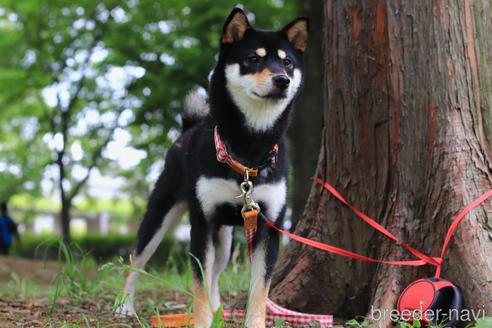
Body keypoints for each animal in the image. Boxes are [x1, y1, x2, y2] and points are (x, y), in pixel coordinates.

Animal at [118, 8, 308, 328]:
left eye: (287, 62)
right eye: (253, 58)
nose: (282, 79)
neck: (249, 148)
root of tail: (188, 128)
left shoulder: (268, 225)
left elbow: (259, 291)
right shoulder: (202, 224)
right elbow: (198, 285)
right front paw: (202, 320)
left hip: (225, 239)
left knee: (216, 275)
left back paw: (219, 306)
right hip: (161, 213)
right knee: (136, 260)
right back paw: (125, 306)